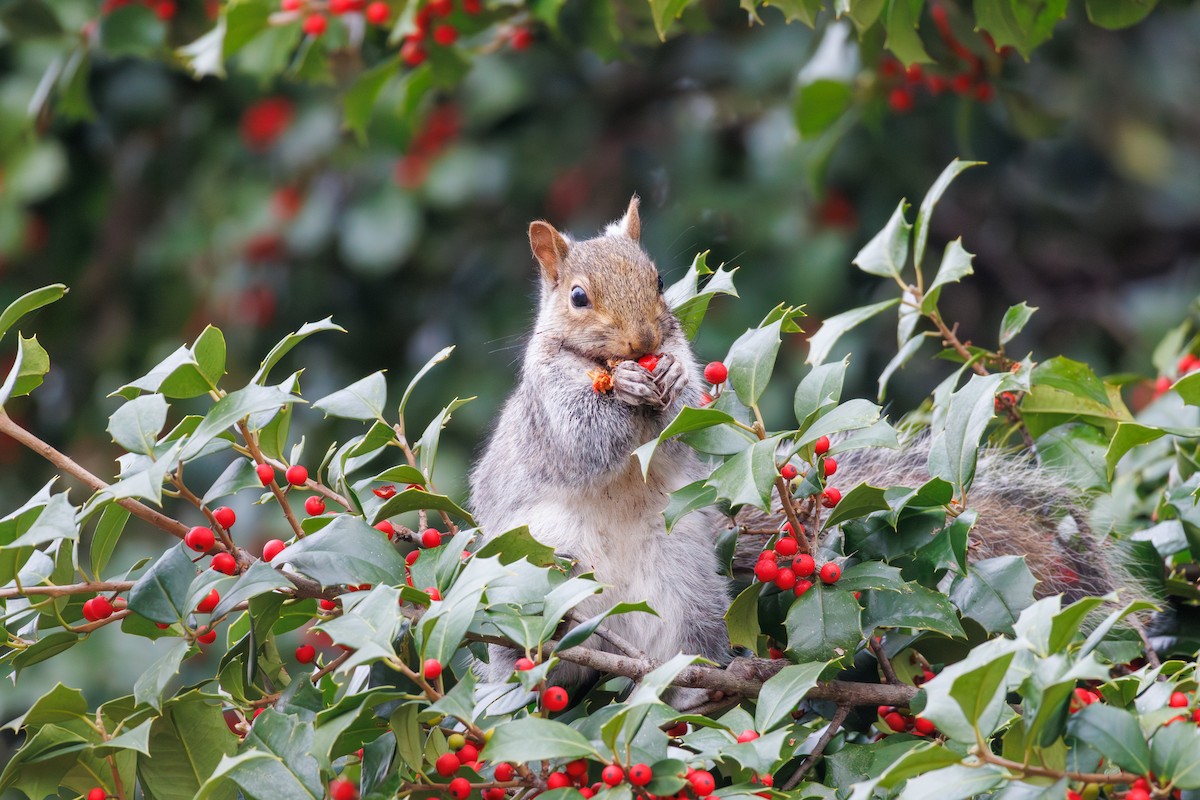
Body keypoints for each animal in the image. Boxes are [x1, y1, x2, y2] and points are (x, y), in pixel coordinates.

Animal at [470, 197, 731, 689]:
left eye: (659, 281)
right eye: (578, 297)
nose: (644, 340)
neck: (599, 363)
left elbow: (687, 421)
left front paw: (670, 377)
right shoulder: (551, 405)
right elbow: (585, 435)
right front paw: (627, 387)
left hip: (686, 572)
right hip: (530, 574)